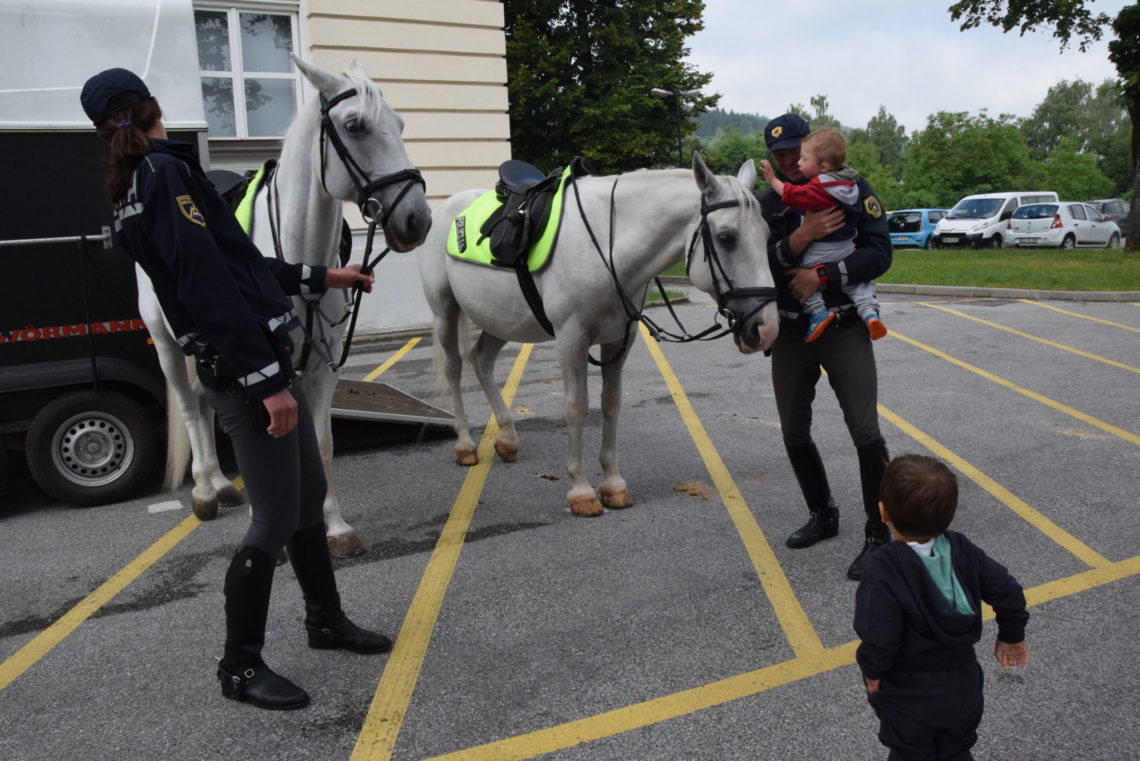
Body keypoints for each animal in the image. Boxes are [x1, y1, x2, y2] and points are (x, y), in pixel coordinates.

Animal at [137, 54, 430, 553]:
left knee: (204, 404)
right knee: (187, 406)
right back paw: (204, 490)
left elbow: (322, 443)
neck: (298, 256)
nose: (417, 220)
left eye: (401, 124)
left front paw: (334, 526)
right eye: (354, 125)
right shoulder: (265, 370)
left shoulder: (320, 369)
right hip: (167, 344)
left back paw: (221, 484)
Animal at [419, 154, 784, 514]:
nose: (766, 328)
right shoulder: (571, 339)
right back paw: (465, 444)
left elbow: (611, 404)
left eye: (767, 233)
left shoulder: (619, 340)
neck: (607, 248)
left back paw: (508, 438)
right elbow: (576, 407)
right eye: (726, 237)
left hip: (501, 319)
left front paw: (612, 484)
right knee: (454, 369)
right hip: (445, 312)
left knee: (481, 360)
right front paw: (581, 490)